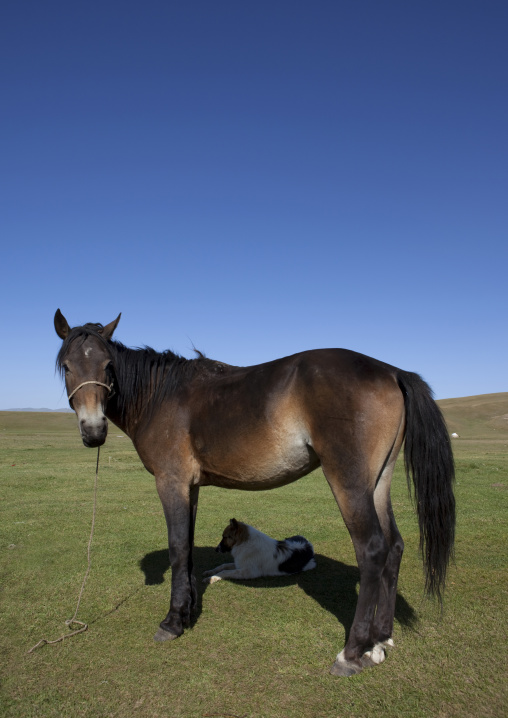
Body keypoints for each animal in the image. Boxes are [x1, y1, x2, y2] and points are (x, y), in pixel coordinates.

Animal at [54, 309, 455, 677]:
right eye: (68, 366)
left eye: (108, 365)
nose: (93, 431)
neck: (160, 397)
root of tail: (391, 371)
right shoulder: (191, 487)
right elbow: (188, 546)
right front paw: (189, 609)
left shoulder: (171, 482)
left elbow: (177, 547)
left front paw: (172, 622)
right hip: (379, 482)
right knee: (395, 546)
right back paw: (380, 639)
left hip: (351, 484)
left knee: (372, 549)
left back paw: (353, 652)